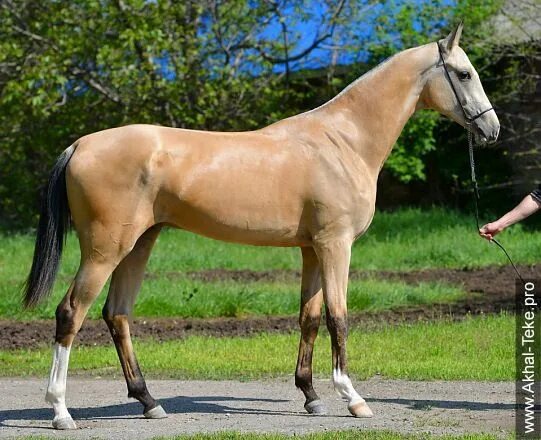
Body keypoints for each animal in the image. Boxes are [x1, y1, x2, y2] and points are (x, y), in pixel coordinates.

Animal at [24, 22, 498, 428]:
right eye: (464, 73)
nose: (491, 129)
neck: (342, 142)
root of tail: (80, 145)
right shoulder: (335, 245)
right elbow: (338, 317)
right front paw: (353, 398)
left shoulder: (312, 249)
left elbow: (309, 317)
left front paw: (311, 397)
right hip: (105, 250)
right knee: (71, 313)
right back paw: (61, 411)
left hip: (139, 245)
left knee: (117, 314)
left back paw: (149, 402)